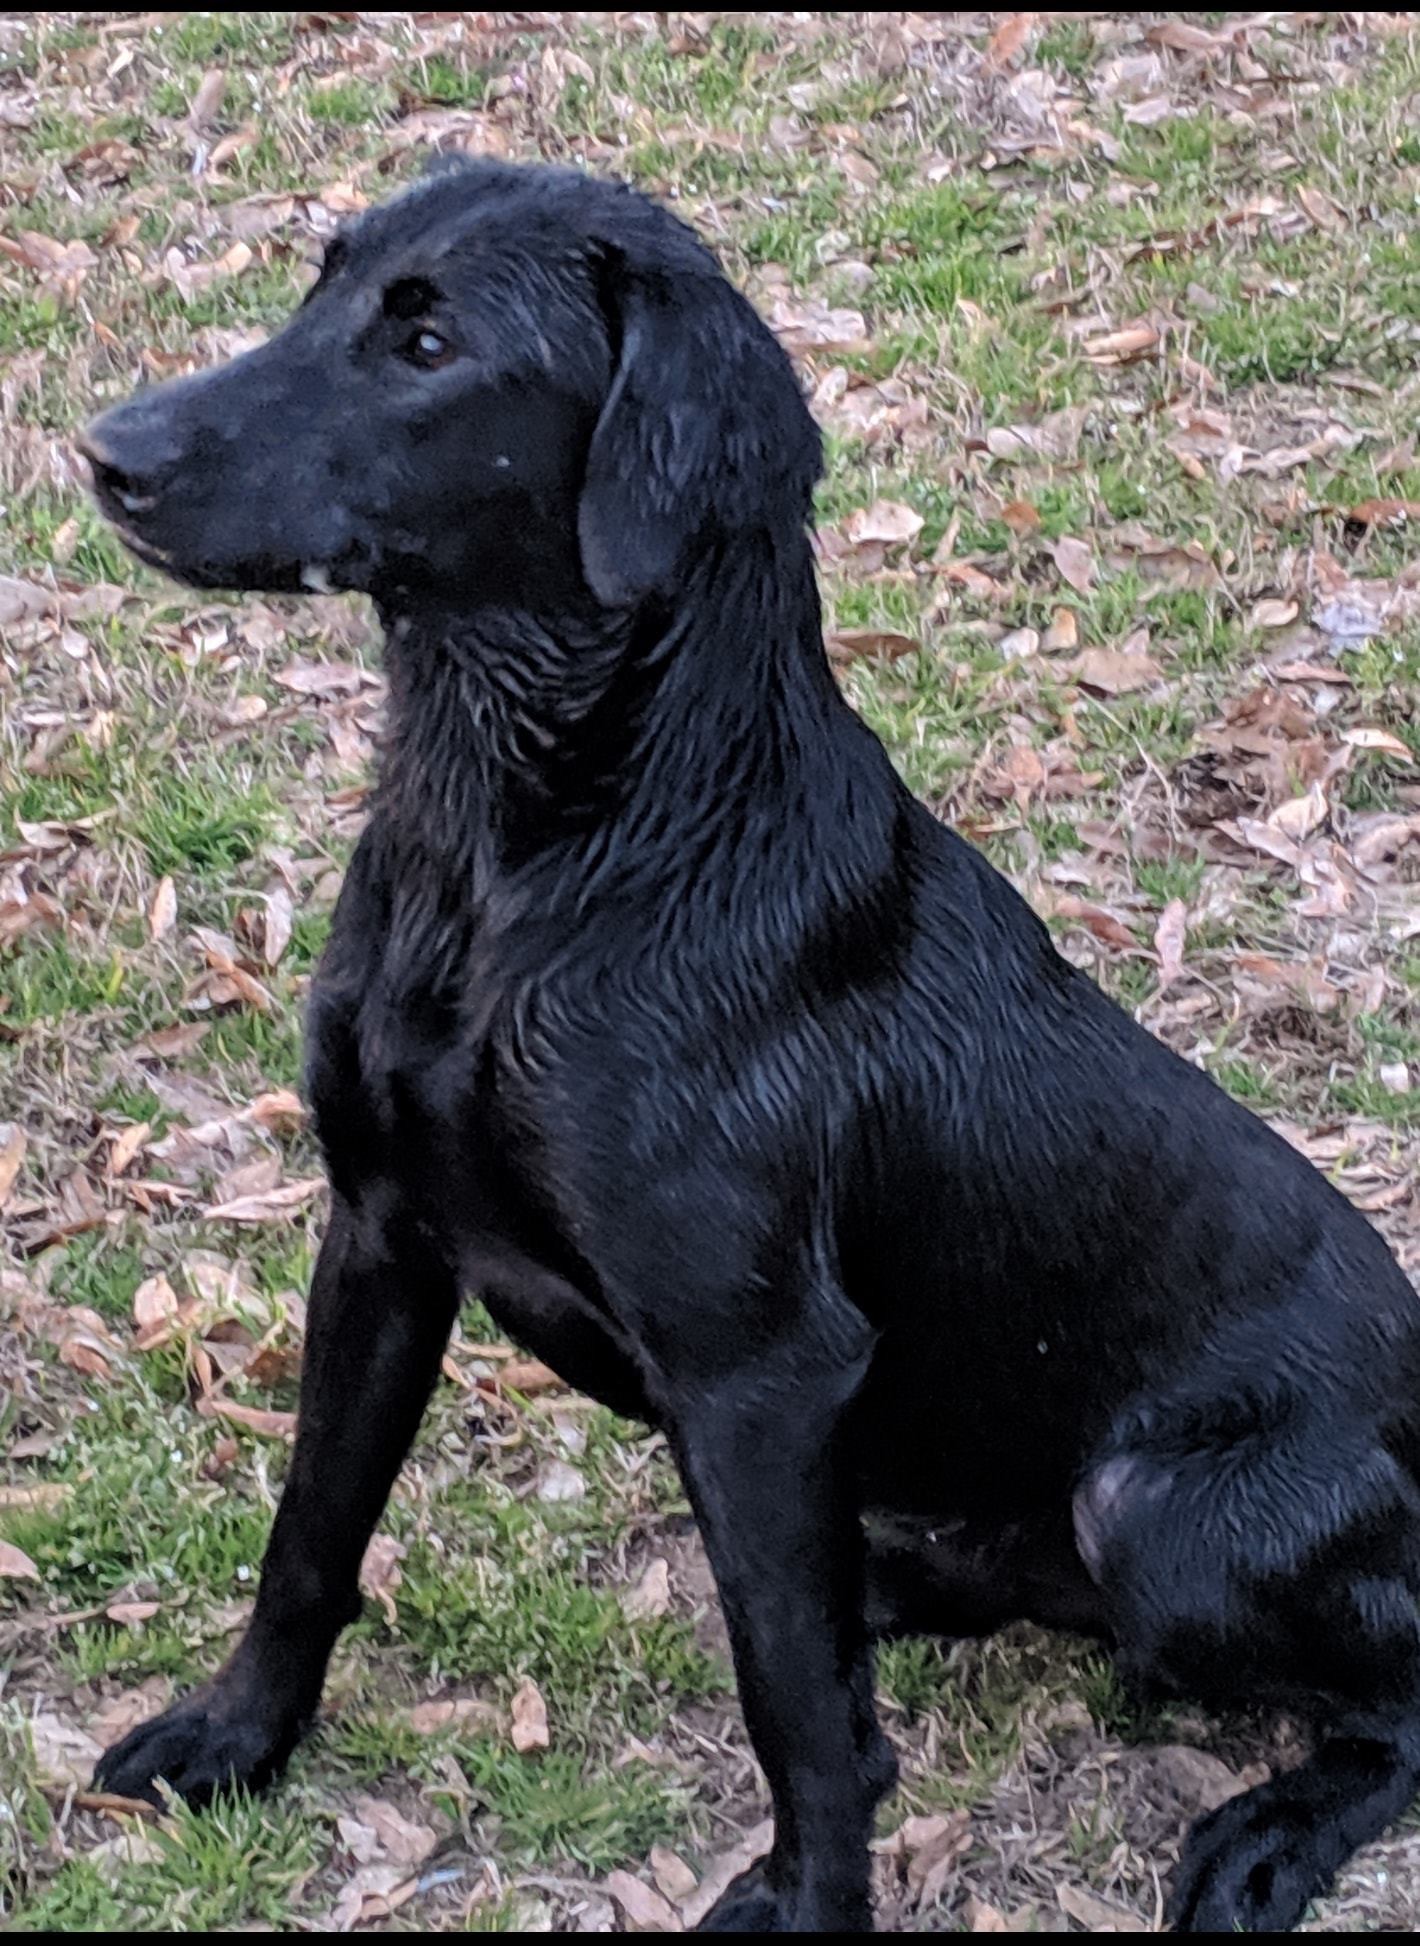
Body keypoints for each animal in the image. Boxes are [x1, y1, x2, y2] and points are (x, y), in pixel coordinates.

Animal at [85, 163, 1416, 1930]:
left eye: (429, 343)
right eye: (325, 287)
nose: (104, 453)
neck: (529, 862)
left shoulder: (759, 1371)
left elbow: (790, 1704)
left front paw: (814, 1894)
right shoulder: (376, 1235)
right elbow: (309, 1531)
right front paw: (236, 1734)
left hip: (1159, 1511)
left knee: (1398, 1705)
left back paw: (1268, 1829)